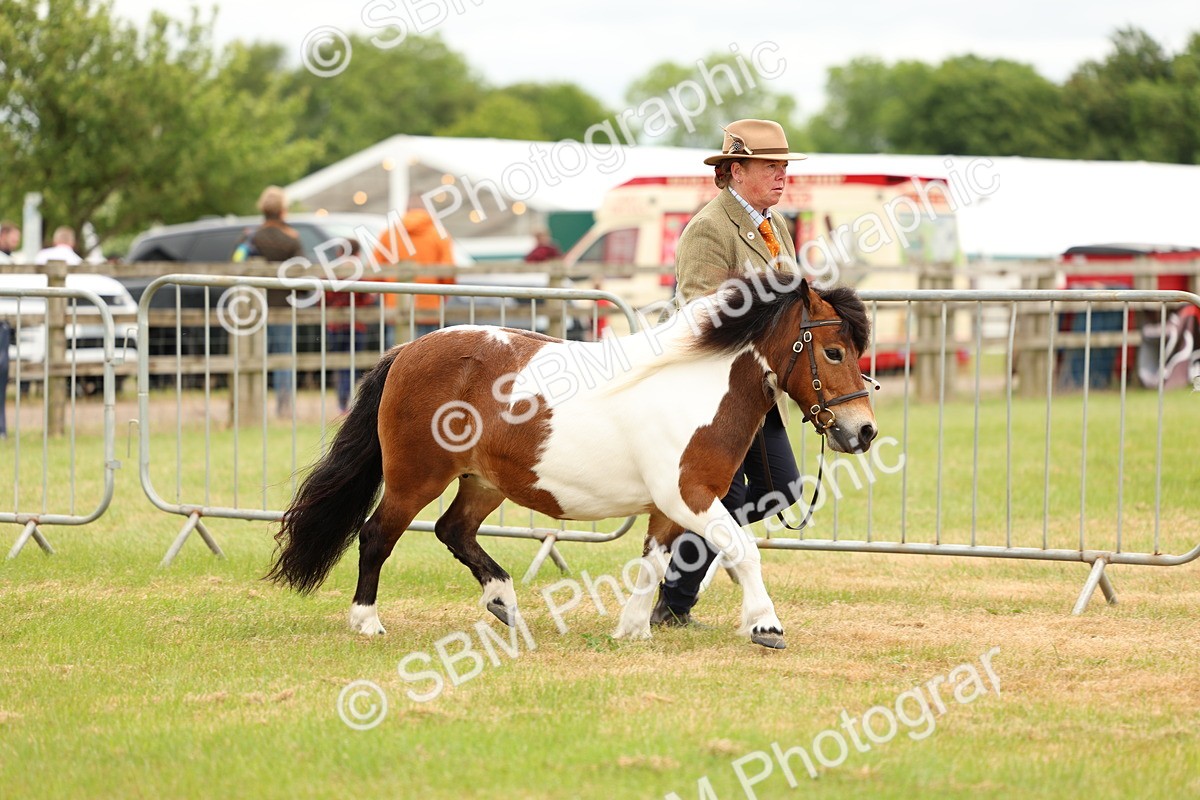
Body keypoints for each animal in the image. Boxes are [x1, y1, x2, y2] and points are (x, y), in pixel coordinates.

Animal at [266, 272, 876, 649]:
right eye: (834, 351)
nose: (863, 431)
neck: (696, 388)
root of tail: (407, 351)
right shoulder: (691, 495)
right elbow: (743, 552)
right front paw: (766, 626)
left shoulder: (670, 506)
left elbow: (656, 561)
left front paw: (633, 630)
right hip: (416, 478)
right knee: (377, 536)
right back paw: (367, 621)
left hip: (484, 481)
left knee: (452, 530)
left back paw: (504, 602)